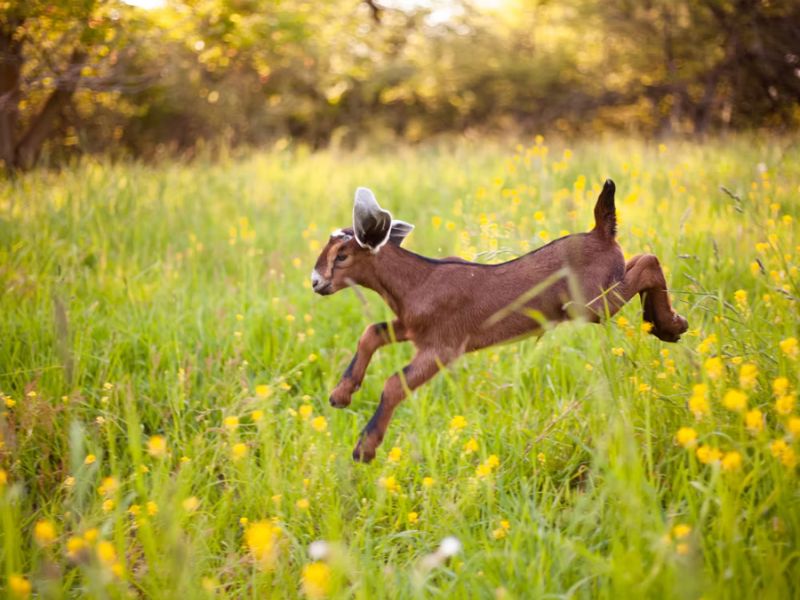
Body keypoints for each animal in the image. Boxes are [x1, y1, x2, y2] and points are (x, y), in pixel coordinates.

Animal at [311, 181, 688, 462]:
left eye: (342, 256)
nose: (316, 282)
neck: (417, 282)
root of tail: (601, 232)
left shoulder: (443, 346)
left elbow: (393, 383)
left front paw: (364, 449)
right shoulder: (412, 328)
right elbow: (371, 333)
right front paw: (340, 395)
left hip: (591, 304)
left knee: (649, 261)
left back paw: (670, 325)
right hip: (604, 290)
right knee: (639, 260)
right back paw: (665, 325)